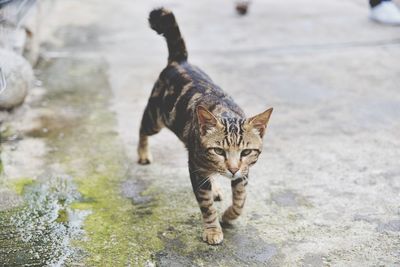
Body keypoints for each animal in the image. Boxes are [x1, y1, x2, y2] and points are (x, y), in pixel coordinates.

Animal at [139, 7, 274, 246]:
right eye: (218, 150)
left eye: (246, 152)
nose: (232, 168)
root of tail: (180, 61)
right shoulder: (195, 167)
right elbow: (206, 205)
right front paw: (212, 230)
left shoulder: (244, 172)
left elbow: (240, 199)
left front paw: (229, 215)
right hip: (155, 118)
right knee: (142, 129)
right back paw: (143, 153)